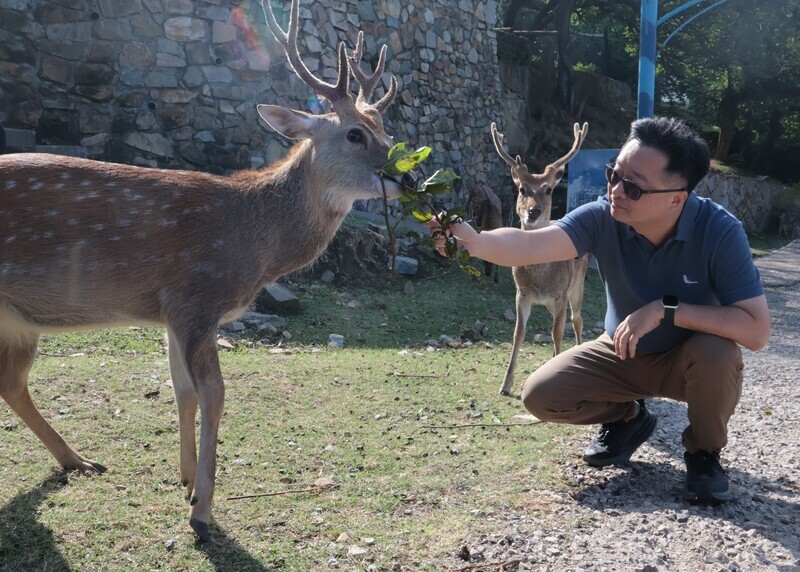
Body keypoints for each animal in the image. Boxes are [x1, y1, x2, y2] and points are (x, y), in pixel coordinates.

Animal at [0, 0, 413, 542]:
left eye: (389, 132)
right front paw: (202, 511)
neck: (250, 240)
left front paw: (186, 479)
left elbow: (182, 392)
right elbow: (213, 394)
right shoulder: (196, 297)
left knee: (11, 383)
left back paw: (78, 460)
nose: (410, 177)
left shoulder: (171, 312)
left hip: (16, 319)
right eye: (355, 133)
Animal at [491, 122, 591, 397]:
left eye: (548, 189)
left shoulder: (561, 293)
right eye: (522, 189)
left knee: (577, 320)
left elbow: (557, 333)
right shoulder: (522, 293)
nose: (533, 211)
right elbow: (518, 333)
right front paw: (505, 385)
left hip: (578, 285)